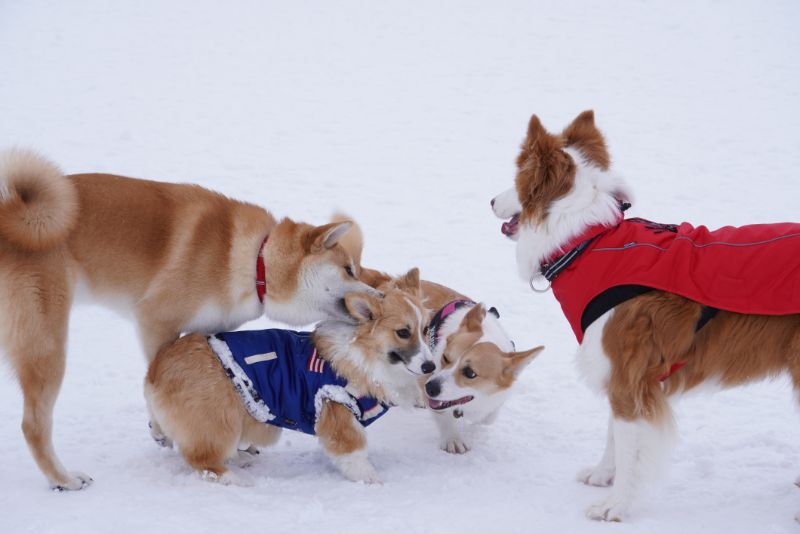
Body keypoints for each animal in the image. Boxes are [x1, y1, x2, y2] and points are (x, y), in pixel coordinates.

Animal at [0, 149, 376, 492]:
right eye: (348, 269)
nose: (377, 297)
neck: (254, 259)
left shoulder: (208, 332)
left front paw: (234, 449)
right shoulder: (155, 320)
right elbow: (154, 376)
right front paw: (162, 431)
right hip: (46, 344)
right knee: (33, 425)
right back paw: (62, 478)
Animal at [144, 272, 432, 486]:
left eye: (425, 329)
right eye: (403, 332)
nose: (430, 366)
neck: (367, 355)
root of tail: (157, 366)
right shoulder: (339, 415)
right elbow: (356, 454)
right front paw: (372, 480)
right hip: (220, 420)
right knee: (201, 460)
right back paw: (234, 478)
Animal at [490, 109, 800, 524]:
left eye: (516, 179)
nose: (491, 201)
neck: (587, 241)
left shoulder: (629, 377)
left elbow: (629, 450)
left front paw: (615, 506)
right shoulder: (617, 371)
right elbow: (612, 436)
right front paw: (602, 476)